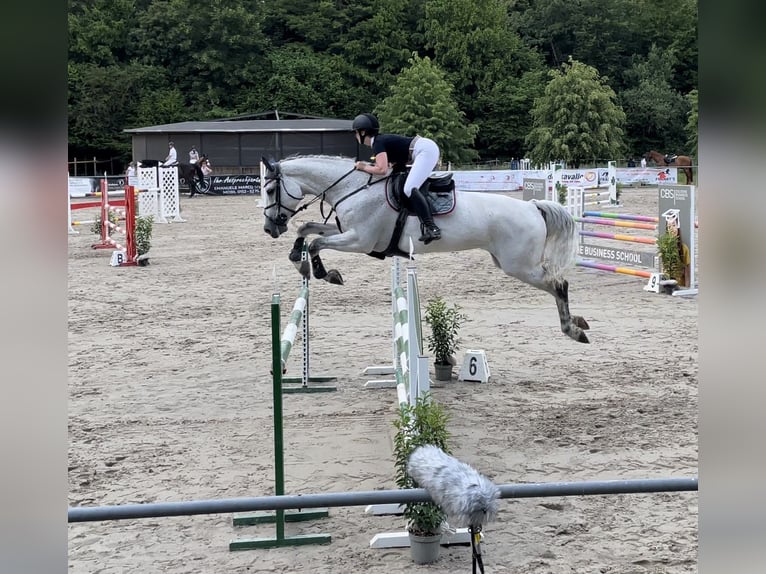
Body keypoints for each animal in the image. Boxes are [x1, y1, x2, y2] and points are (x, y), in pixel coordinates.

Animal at [261, 155, 591, 344]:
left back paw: (573, 330)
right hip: (510, 263)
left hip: (520, 266)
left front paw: (321, 272)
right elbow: (307, 230)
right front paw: (299, 258)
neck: (353, 188)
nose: (270, 228)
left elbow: (316, 242)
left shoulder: (360, 240)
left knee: (559, 284)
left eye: (270, 189)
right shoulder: (347, 231)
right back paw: (578, 322)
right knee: (556, 284)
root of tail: (533, 206)